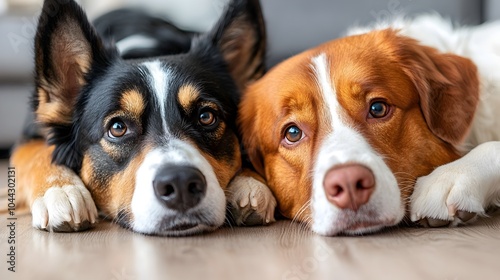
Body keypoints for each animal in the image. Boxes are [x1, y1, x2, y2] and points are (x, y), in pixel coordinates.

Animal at [11, 0, 276, 236]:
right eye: (118, 127)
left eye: (206, 116)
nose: (180, 183)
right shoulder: (27, 141)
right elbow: (38, 155)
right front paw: (61, 191)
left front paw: (250, 184)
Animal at [239, 14, 500, 235]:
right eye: (292, 132)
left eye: (377, 109)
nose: (349, 183)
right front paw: (246, 186)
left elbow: (493, 146)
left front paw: (452, 176)